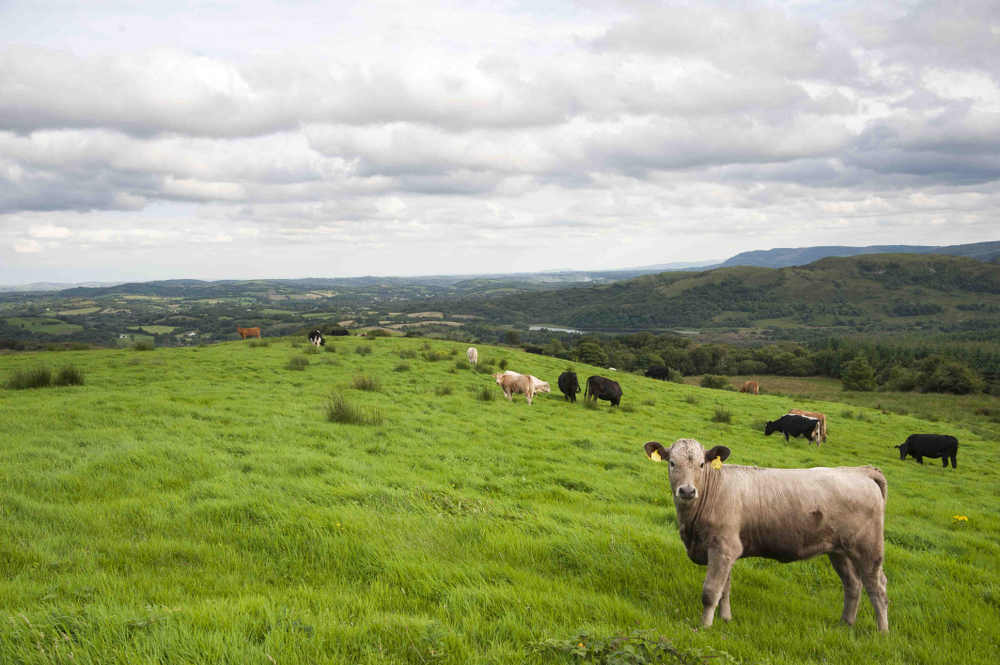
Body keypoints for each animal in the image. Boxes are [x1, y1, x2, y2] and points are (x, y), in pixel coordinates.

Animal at [643, 438, 888, 632]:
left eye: (701, 464)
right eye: (672, 463)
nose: (687, 491)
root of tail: (859, 471)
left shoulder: (723, 547)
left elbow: (711, 591)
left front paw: (704, 626)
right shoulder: (727, 550)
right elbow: (725, 589)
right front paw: (725, 618)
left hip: (869, 549)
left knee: (878, 588)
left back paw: (882, 633)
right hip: (839, 551)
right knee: (853, 585)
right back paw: (845, 623)